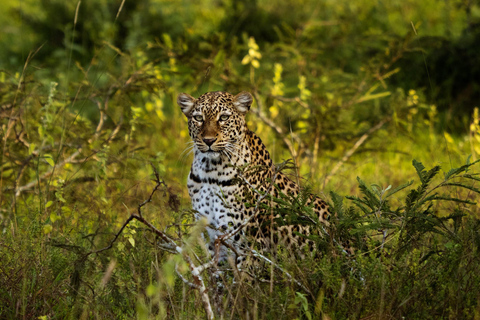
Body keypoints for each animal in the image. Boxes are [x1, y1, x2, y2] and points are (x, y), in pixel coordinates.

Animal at [177, 91, 334, 266]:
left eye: (224, 117)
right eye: (198, 118)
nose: (208, 140)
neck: (209, 172)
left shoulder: (248, 245)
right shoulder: (213, 239)